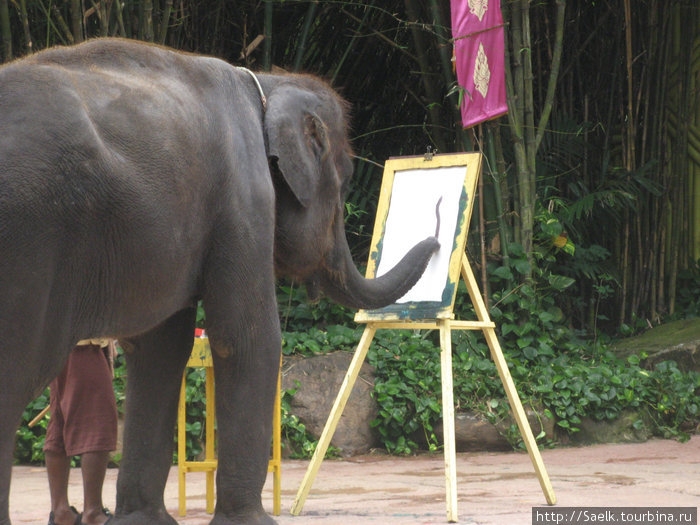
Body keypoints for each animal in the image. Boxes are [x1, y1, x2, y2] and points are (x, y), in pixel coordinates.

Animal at [0, 40, 438, 524]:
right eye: (344, 187)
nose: (436, 237)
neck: (265, 82)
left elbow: (160, 349)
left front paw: (142, 521)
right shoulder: (243, 202)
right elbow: (247, 339)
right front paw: (253, 522)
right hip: (30, 243)